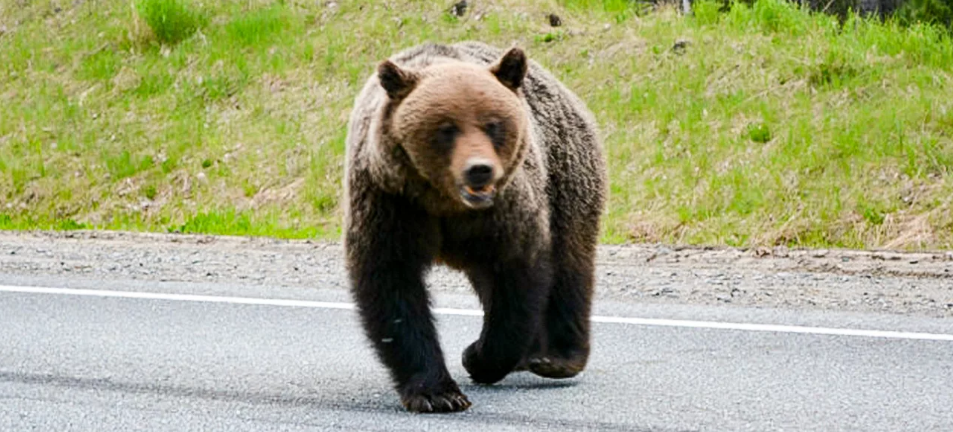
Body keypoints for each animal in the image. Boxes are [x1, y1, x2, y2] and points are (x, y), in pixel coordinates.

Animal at [342, 41, 608, 416]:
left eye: (493, 124)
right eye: (446, 128)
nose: (479, 169)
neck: (446, 203)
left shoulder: (505, 210)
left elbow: (518, 278)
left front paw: (479, 356)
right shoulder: (391, 201)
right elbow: (392, 284)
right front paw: (437, 393)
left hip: (567, 178)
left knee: (570, 263)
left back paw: (556, 357)